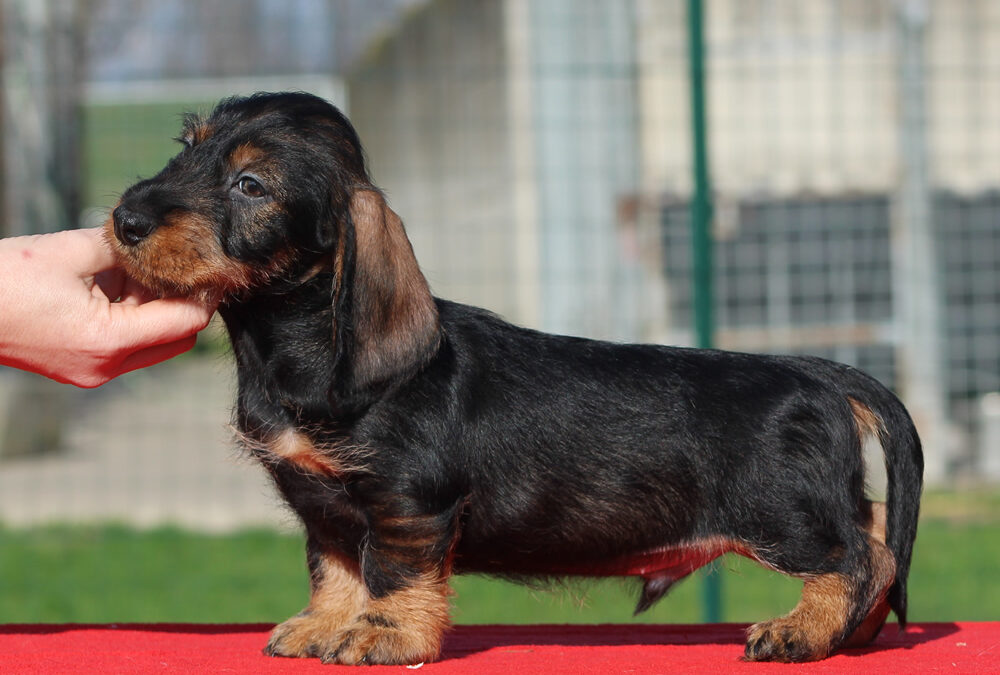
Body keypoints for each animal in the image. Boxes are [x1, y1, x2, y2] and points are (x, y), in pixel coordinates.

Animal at [105, 92, 924, 668]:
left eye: (250, 184)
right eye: (185, 151)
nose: (125, 220)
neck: (291, 345)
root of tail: (812, 368)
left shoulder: (408, 503)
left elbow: (391, 573)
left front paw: (383, 635)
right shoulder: (324, 507)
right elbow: (334, 568)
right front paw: (323, 625)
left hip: (779, 512)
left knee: (860, 554)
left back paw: (799, 632)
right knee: (875, 529)